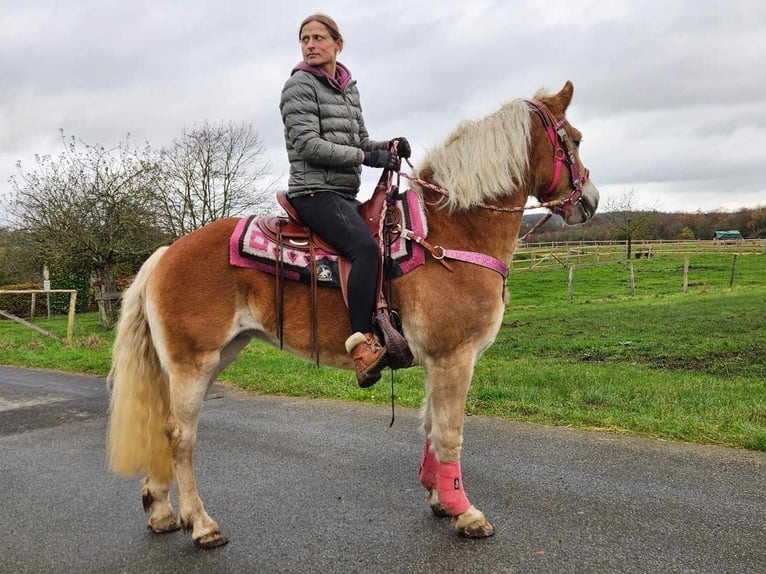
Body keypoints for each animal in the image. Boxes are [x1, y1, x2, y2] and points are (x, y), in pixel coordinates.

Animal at [108, 81, 600, 548]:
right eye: (574, 140)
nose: (591, 201)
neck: (454, 232)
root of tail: (165, 254)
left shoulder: (436, 361)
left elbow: (429, 426)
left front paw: (439, 497)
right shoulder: (454, 357)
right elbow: (449, 434)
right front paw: (465, 512)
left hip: (209, 358)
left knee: (161, 427)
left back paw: (161, 511)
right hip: (194, 364)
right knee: (179, 435)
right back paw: (201, 525)